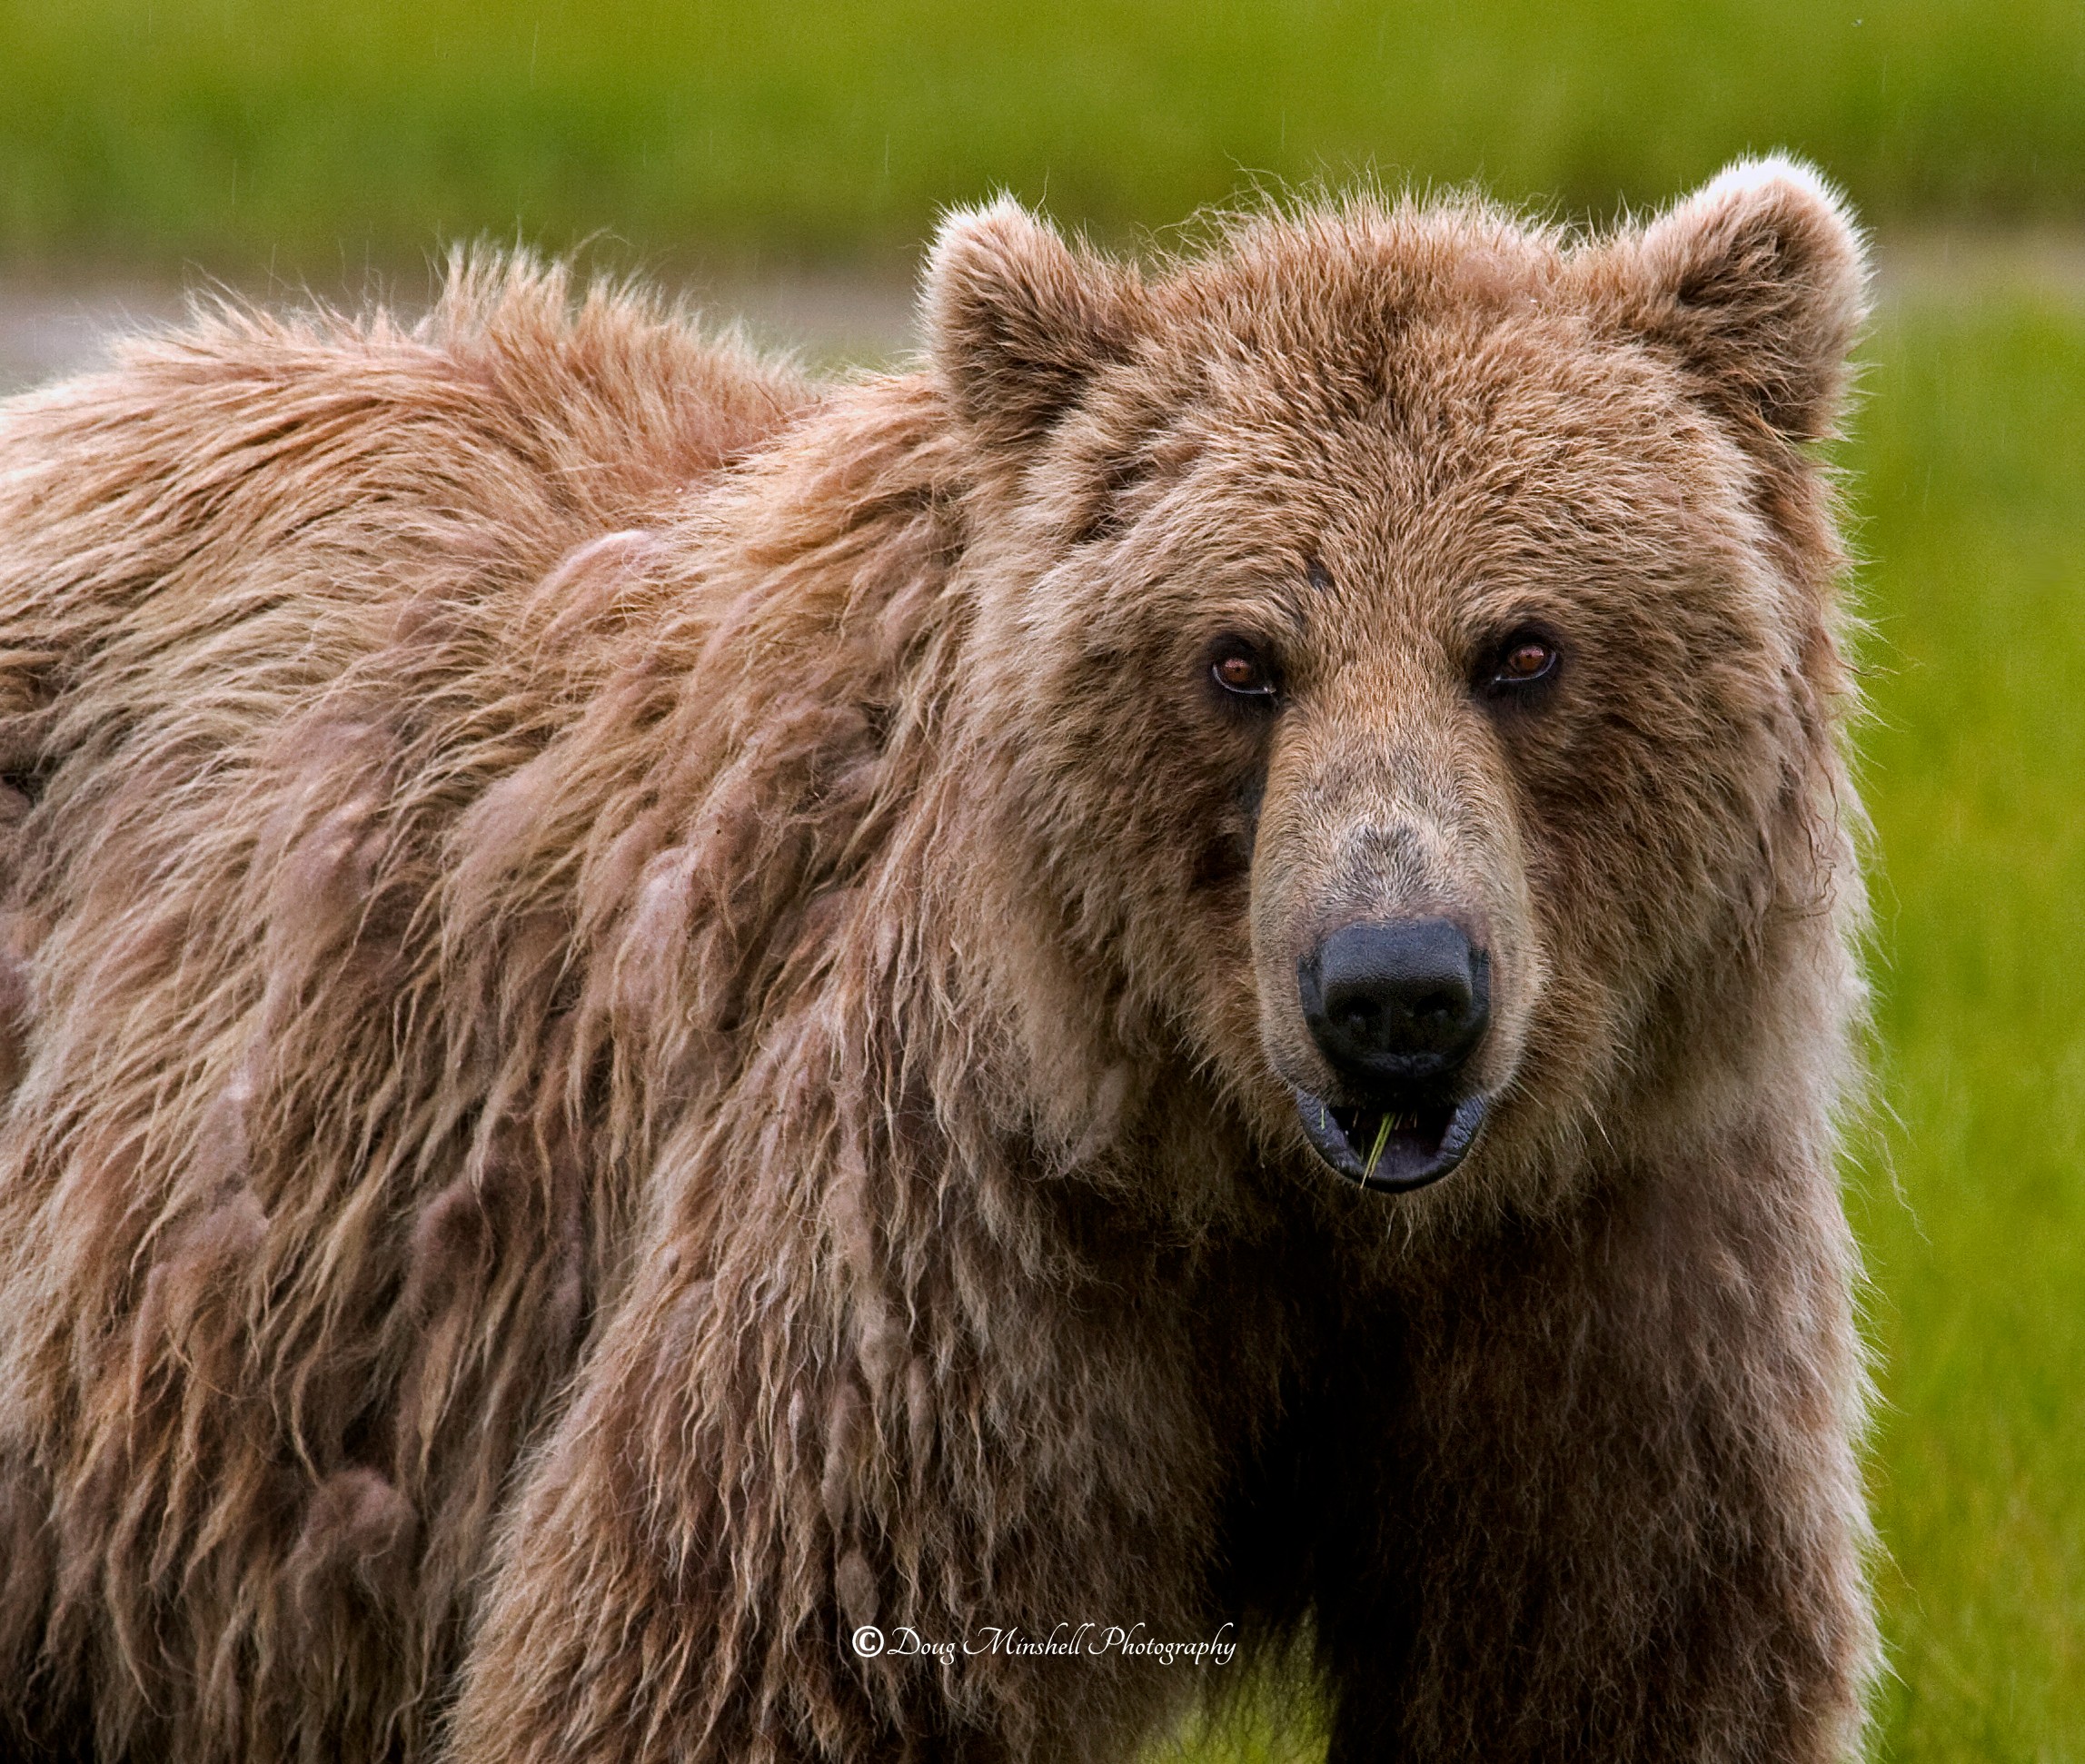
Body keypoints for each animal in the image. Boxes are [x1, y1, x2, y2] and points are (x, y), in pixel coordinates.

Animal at [0, 156, 1876, 1764]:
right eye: (1241, 658)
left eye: (1525, 647)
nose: (1395, 993)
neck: (1274, 1198)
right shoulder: (956, 1237)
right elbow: (754, 1654)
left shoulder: (1603, 1255)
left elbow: (1617, 1659)